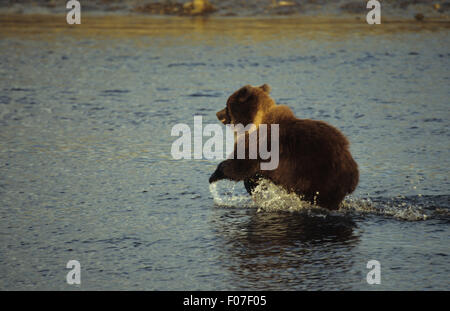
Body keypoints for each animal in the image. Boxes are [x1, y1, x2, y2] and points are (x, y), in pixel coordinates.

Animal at [209, 84, 360, 211]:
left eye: (227, 105)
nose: (217, 113)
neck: (255, 122)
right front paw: (255, 188)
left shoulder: (260, 144)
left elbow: (239, 166)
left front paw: (214, 175)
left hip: (321, 174)